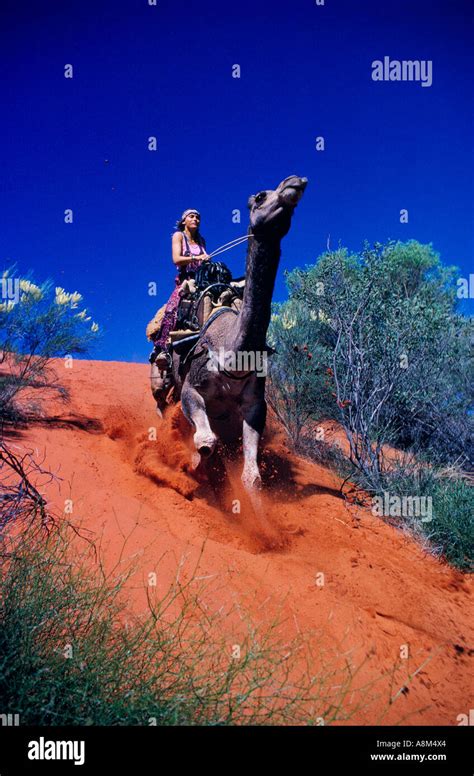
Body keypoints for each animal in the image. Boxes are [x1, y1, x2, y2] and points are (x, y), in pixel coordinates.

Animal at [166, 174, 308, 492]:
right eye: (260, 196)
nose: (294, 182)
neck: (232, 352)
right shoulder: (191, 388)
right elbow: (206, 442)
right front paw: (193, 469)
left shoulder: (255, 403)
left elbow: (252, 475)